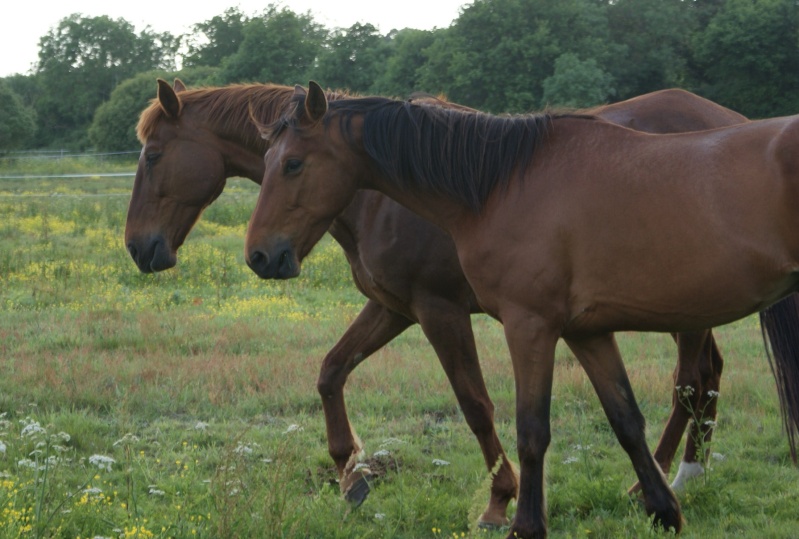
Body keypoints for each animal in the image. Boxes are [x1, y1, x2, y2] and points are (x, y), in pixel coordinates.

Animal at [126, 79, 756, 528]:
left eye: (153, 155)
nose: (137, 247)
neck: (377, 192)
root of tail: (736, 123)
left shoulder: (439, 310)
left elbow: (475, 404)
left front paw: (501, 500)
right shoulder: (394, 308)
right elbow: (331, 371)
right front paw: (350, 474)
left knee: (690, 380)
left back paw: (669, 480)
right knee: (704, 377)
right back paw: (673, 477)